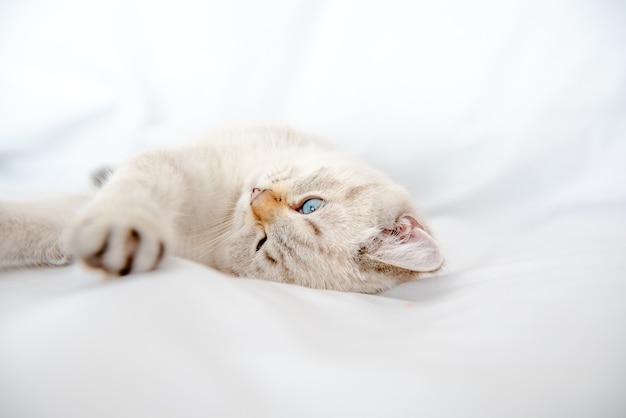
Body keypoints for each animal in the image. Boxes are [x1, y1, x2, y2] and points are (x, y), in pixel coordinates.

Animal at [0, 127, 442, 294]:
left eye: (262, 244)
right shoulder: (176, 167)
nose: (256, 198)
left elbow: (41, 228)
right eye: (311, 205)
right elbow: (132, 194)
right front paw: (124, 226)